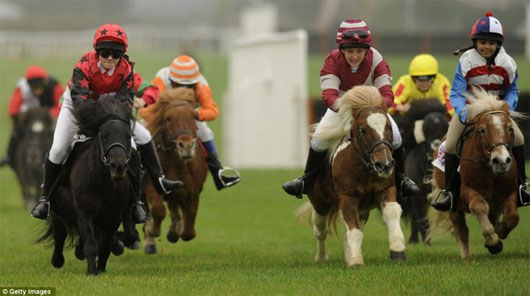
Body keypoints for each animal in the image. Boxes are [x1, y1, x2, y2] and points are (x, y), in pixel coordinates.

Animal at [39, 97, 138, 276]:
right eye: (104, 136)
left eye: (128, 136)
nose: (118, 166)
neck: (102, 183)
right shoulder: (84, 213)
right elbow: (91, 244)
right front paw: (92, 271)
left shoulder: (115, 215)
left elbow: (106, 245)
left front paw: (102, 268)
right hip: (58, 212)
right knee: (60, 234)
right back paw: (57, 260)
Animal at [141, 86, 207, 253]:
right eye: (168, 118)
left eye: (194, 116)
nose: (186, 146)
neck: (175, 164)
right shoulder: (151, 185)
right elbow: (158, 210)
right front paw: (151, 229)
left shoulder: (192, 193)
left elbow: (189, 232)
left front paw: (176, 229)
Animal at [294, 85, 402, 266]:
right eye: (363, 130)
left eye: (388, 127)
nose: (385, 164)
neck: (364, 168)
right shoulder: (347, 198)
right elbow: (353, 230)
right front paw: (356, 261)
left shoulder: (386, 189)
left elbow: (392, 213)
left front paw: (397, 250)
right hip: (320, 203)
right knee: (321, 231)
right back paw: (321, 258)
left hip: (363, 208)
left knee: (348, 234)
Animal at [392, 98, 446, 244]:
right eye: (425, 129)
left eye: (445, 128)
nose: (435, 146)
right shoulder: (416, 196)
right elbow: (419, 218)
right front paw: (424, 241)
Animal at [432, 89, 516, 258]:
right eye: (482, 130)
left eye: (510, 128)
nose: (501, 161)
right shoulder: (468, 191)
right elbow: (479, 207)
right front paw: (493, 241)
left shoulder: (511, 192)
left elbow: (512, 217)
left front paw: (499, 234)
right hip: (454, 206)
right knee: (461, 229)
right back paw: (466, 256)